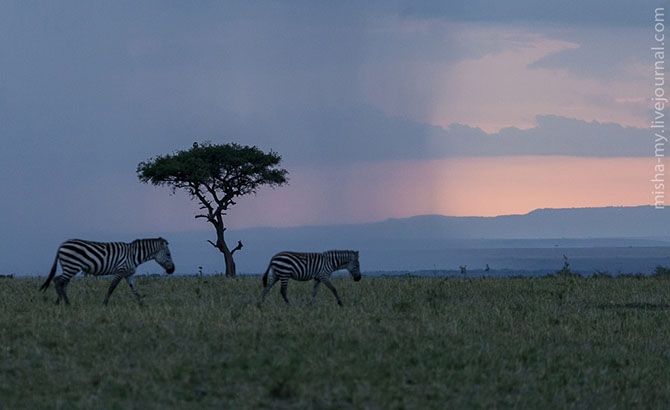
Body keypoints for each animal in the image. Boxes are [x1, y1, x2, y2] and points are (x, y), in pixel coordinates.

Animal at [39, 237, 176, 304]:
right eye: (168, 254)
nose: (172, 270)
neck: (133, 255)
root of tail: (61, 245)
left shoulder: (128, 274)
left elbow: (135, 290)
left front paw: (142, 305)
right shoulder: (120, 270)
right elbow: (111, 288)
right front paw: (104, 304)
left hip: (69, 267)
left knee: (62, 283)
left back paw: (64, 302)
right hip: (72, 266)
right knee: (58, 281)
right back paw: (61, 302)